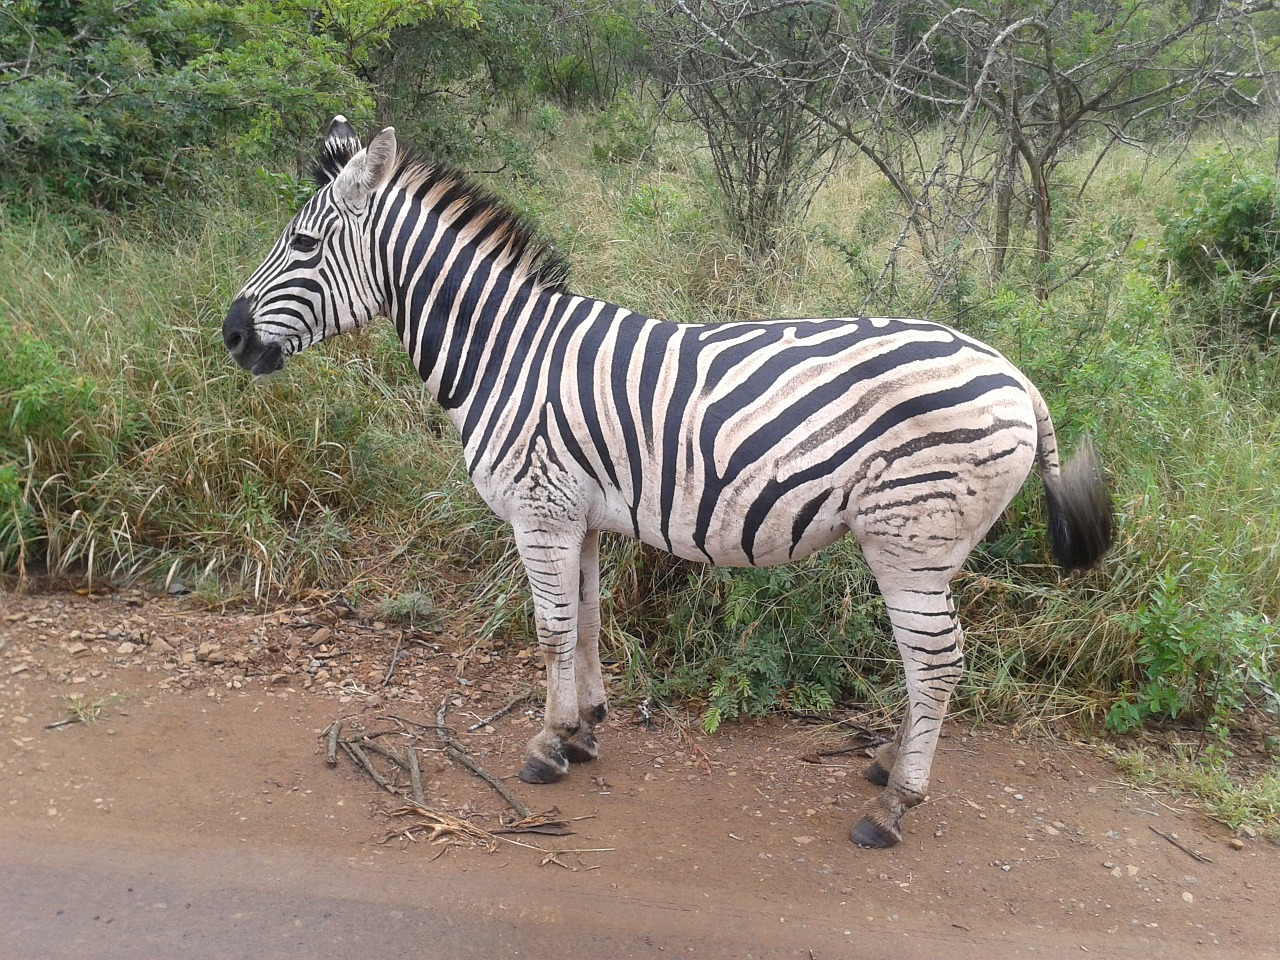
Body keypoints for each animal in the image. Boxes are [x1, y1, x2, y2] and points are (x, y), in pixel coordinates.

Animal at [220, 120, 1111, 849]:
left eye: (302, 247)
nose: (228, 335)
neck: (503, 354)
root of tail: (1018, 377)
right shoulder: (575, 514)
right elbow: (585, 623)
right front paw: (583, 731)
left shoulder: (539, 512)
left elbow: (550, 632)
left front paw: (545, 747)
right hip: (933, 544)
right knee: (934, 663)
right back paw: (888, 761)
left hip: (910, 538)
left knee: (937, 662)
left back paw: (894, 805)